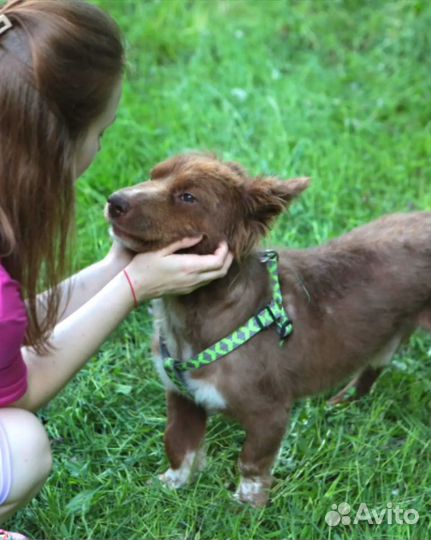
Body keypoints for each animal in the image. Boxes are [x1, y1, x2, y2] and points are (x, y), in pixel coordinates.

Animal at [105, 152, 431, 506]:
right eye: (153, 176)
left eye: (188, 197)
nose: (114, 201)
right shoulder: (182, 397)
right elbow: (177, 443)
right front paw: (171, 485)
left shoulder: (270, 415)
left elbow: (251, 462)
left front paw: (247, 506)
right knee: (374, 365)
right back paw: (341, 403)